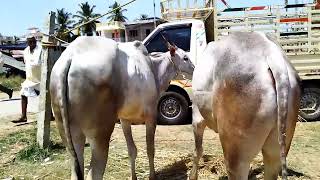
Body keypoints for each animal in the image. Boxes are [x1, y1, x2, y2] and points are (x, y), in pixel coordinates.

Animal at [49, 35, 194, 179]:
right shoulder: (151, 116)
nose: (194, 68)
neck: (153, 69)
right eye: (185, 57)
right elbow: (150, 149)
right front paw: (152, 176)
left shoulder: (125, 119)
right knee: (94, 173)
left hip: (70, 135)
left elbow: (132, 150)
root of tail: (70, 57)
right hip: (100, 135)